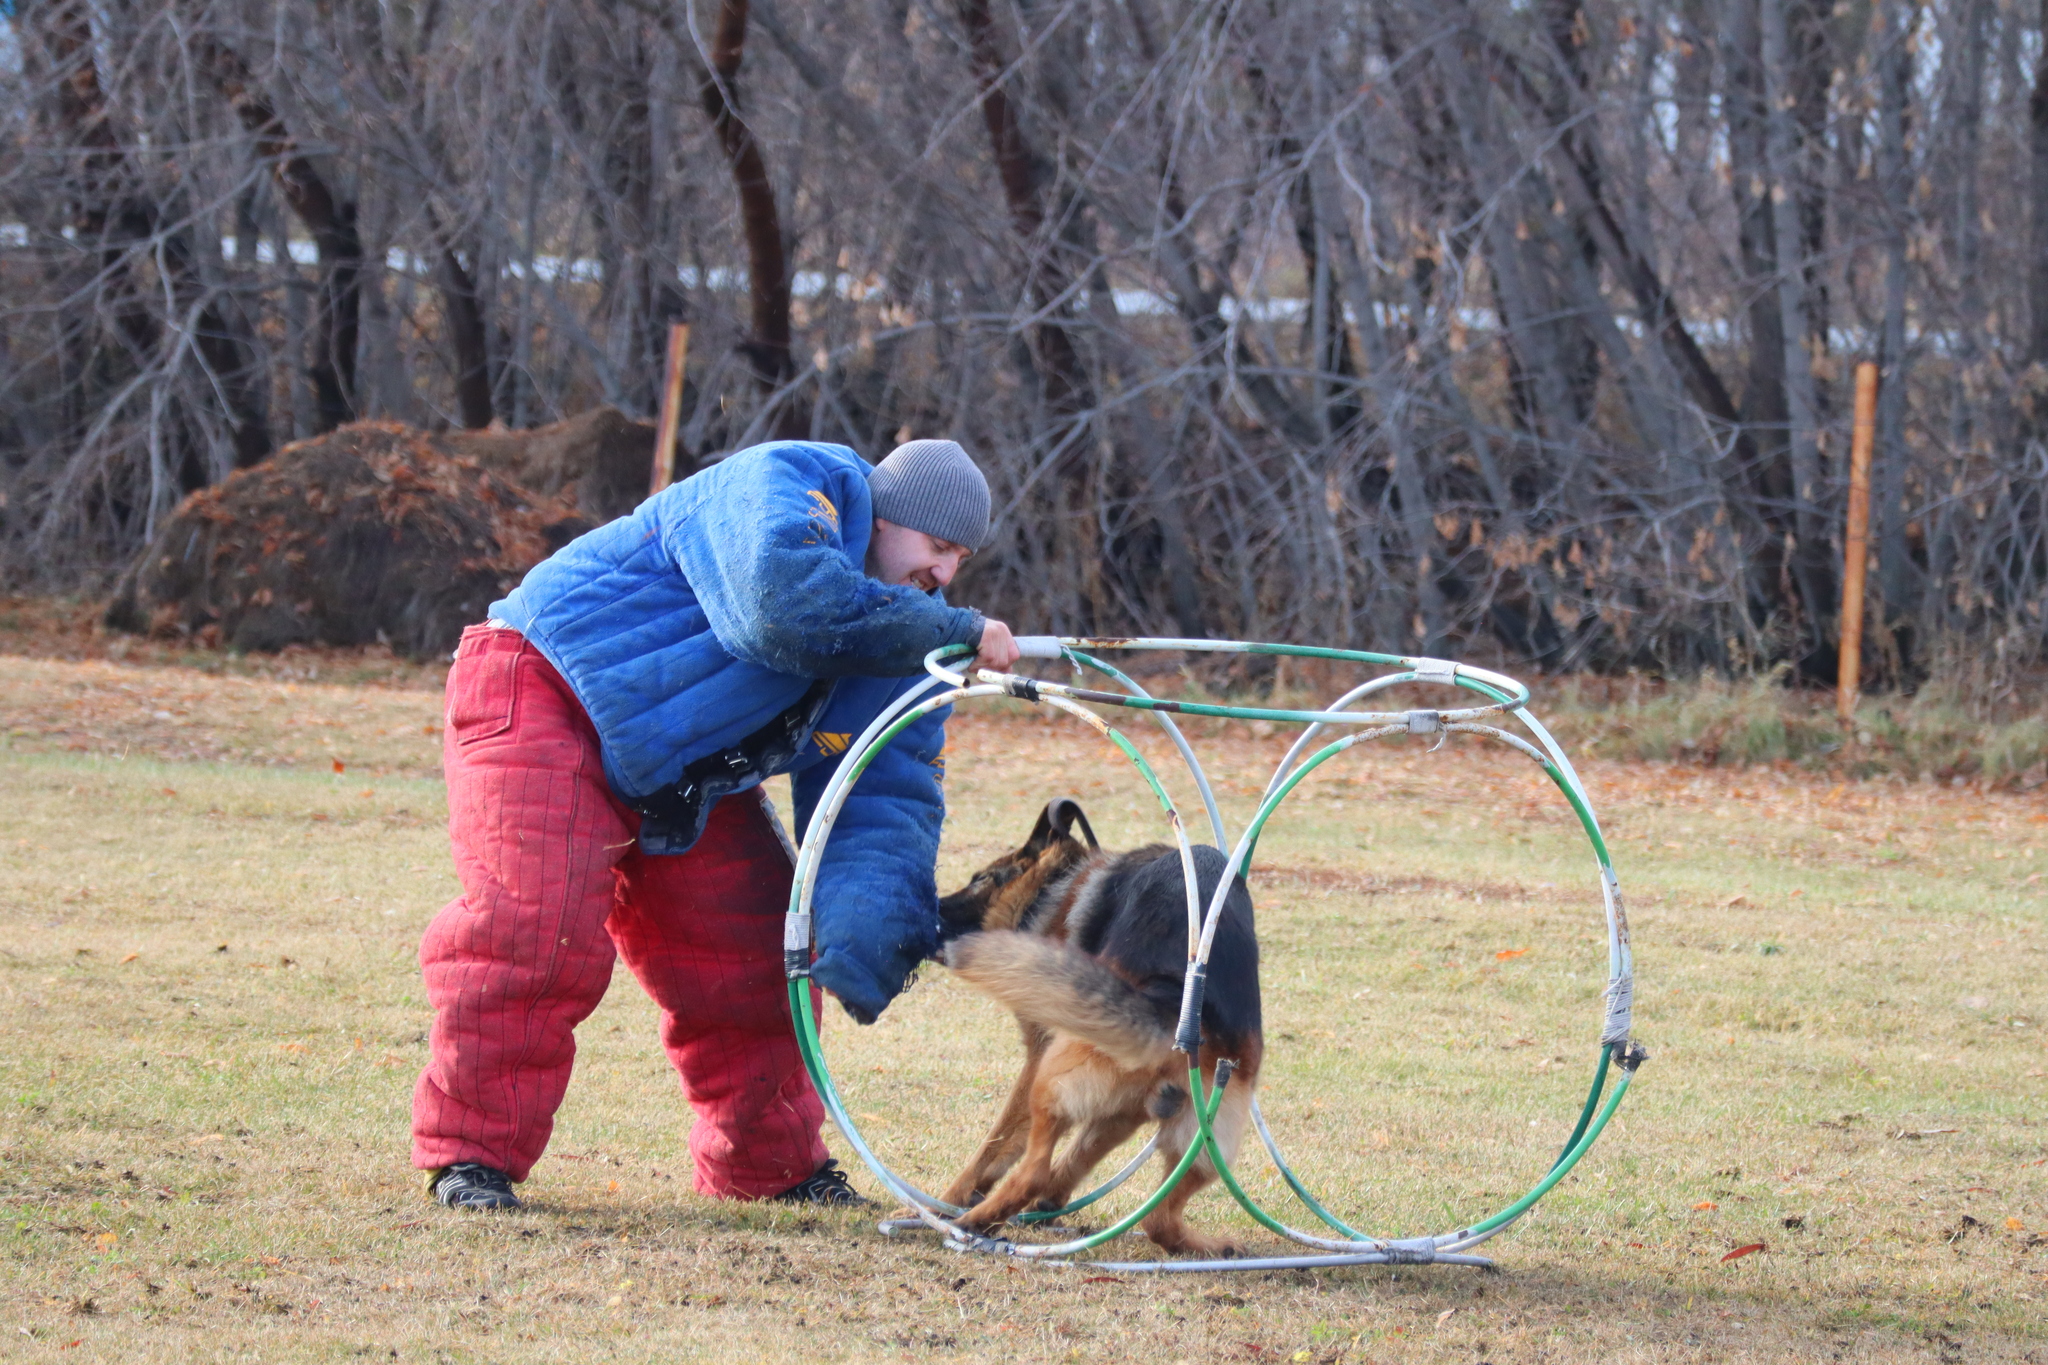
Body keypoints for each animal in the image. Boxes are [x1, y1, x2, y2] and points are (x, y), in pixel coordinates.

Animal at [933, 802, 1253, 1260]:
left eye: (980, 878)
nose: (927, 907)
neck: (1060, 892)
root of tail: (1178, 1004)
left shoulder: (1040, 1053)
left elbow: (997, 1144)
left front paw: (951, 1199)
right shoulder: (1129, 1108)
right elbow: (1082, 1152)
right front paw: (1050, 1203)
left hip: (1052, 1078)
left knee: (1032, 1167)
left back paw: (972, 1221)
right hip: (1206, 1141)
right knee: (1159, 1219)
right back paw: (1214, 1246)